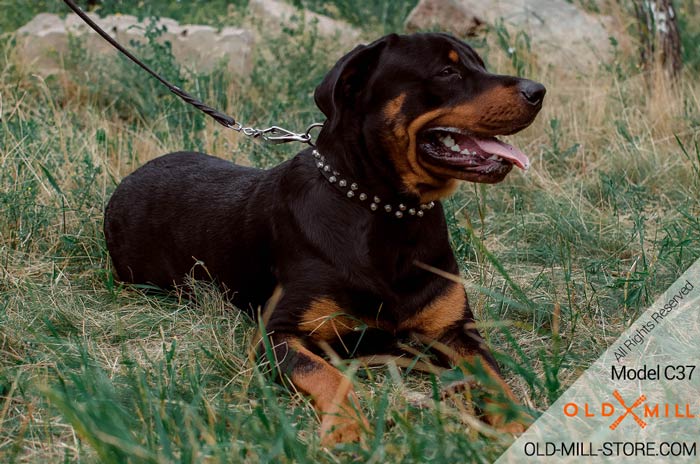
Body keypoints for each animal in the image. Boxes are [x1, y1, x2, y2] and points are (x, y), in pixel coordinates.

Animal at [105, 32, 548, 446]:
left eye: (480, 64)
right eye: (447, 71)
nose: (538, 91)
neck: (386, 214)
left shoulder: (456, 329)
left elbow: (494, 375)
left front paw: (520, 422)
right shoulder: (277, 333)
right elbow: (326, 374)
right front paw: (348, 428)